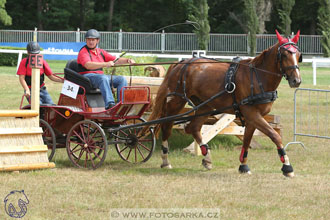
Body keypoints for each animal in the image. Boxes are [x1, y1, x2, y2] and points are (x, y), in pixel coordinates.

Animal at [147, 30, 302, 177]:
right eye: (284, 55)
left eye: (298, 55)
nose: (297, 81)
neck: (257, 77)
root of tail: (179, 64)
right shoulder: (252, 114)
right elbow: (274, 135)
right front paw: (287, 167)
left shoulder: (253, 117)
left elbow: (247, 141)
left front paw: (243, 166)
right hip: (176, 101)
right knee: (167, 126)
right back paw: (165, 160)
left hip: (205, 106)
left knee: (193, 127)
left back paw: (207, 158)